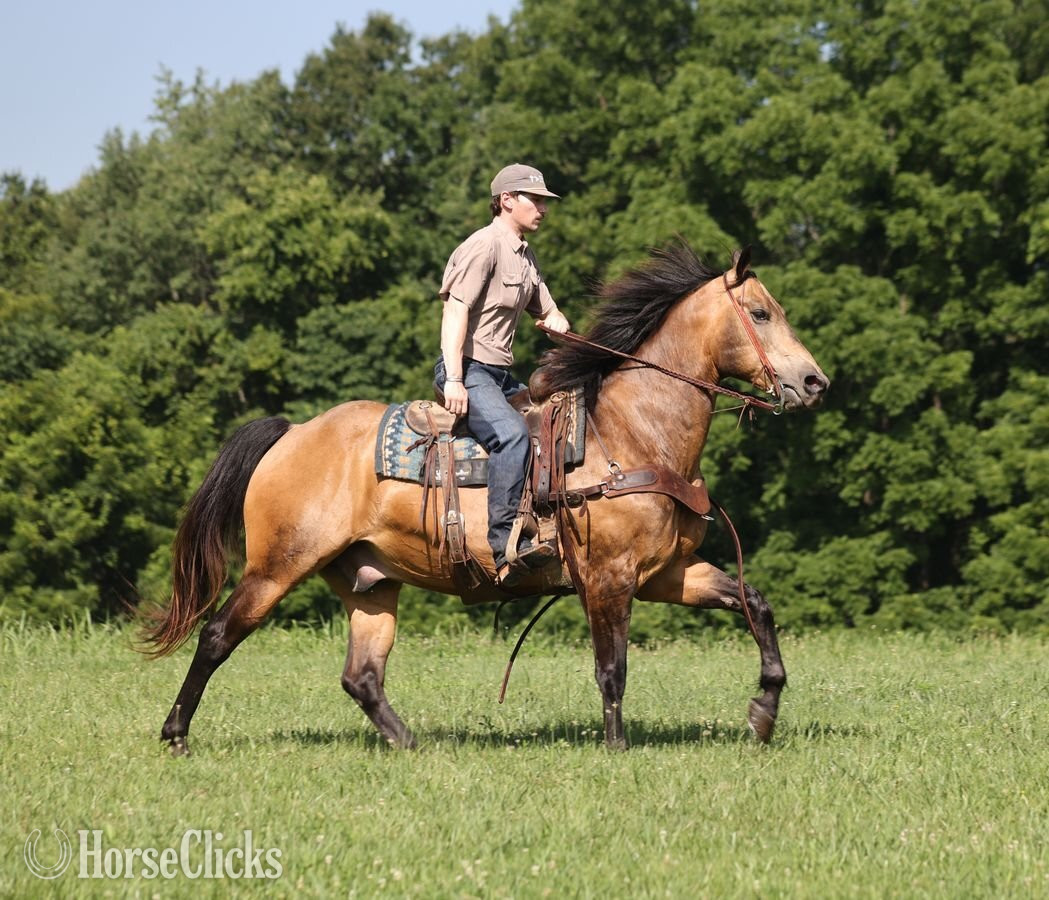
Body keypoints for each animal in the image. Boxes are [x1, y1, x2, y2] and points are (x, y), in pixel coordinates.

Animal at [142, 242, 829, 754]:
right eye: (761, 313)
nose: (815, 380)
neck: (630, 433)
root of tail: (291, 433)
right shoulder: (608, 577)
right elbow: (612, 668)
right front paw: (616, 748)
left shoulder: (667, 572)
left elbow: (755, 605)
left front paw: (763, 711)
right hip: (278, 565)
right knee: (217, 635)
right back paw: (175, 734)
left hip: (369, 582)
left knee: (362, 676)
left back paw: (414, 746)